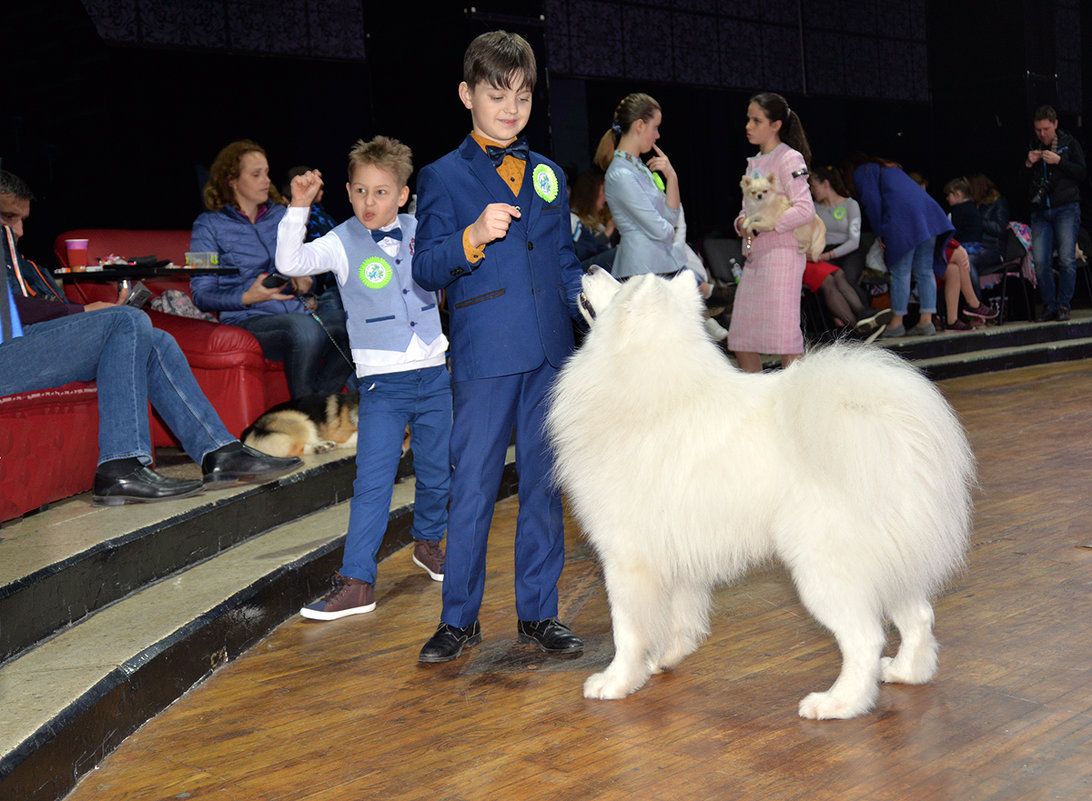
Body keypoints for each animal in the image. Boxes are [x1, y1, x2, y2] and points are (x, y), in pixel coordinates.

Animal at [546, 268, 974, 720]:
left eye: (620, 287)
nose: (590, 269)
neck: (649, 391)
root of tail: (894, 436)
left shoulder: (627, 557)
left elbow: (627, 629)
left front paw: (616, 681)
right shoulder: (677, 554)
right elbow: (681, 618)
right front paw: (664, 659)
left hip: (826, 570)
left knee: (866, 640)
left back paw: (836, 703)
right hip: (892, 562)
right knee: (919, 617)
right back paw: (907, 672)